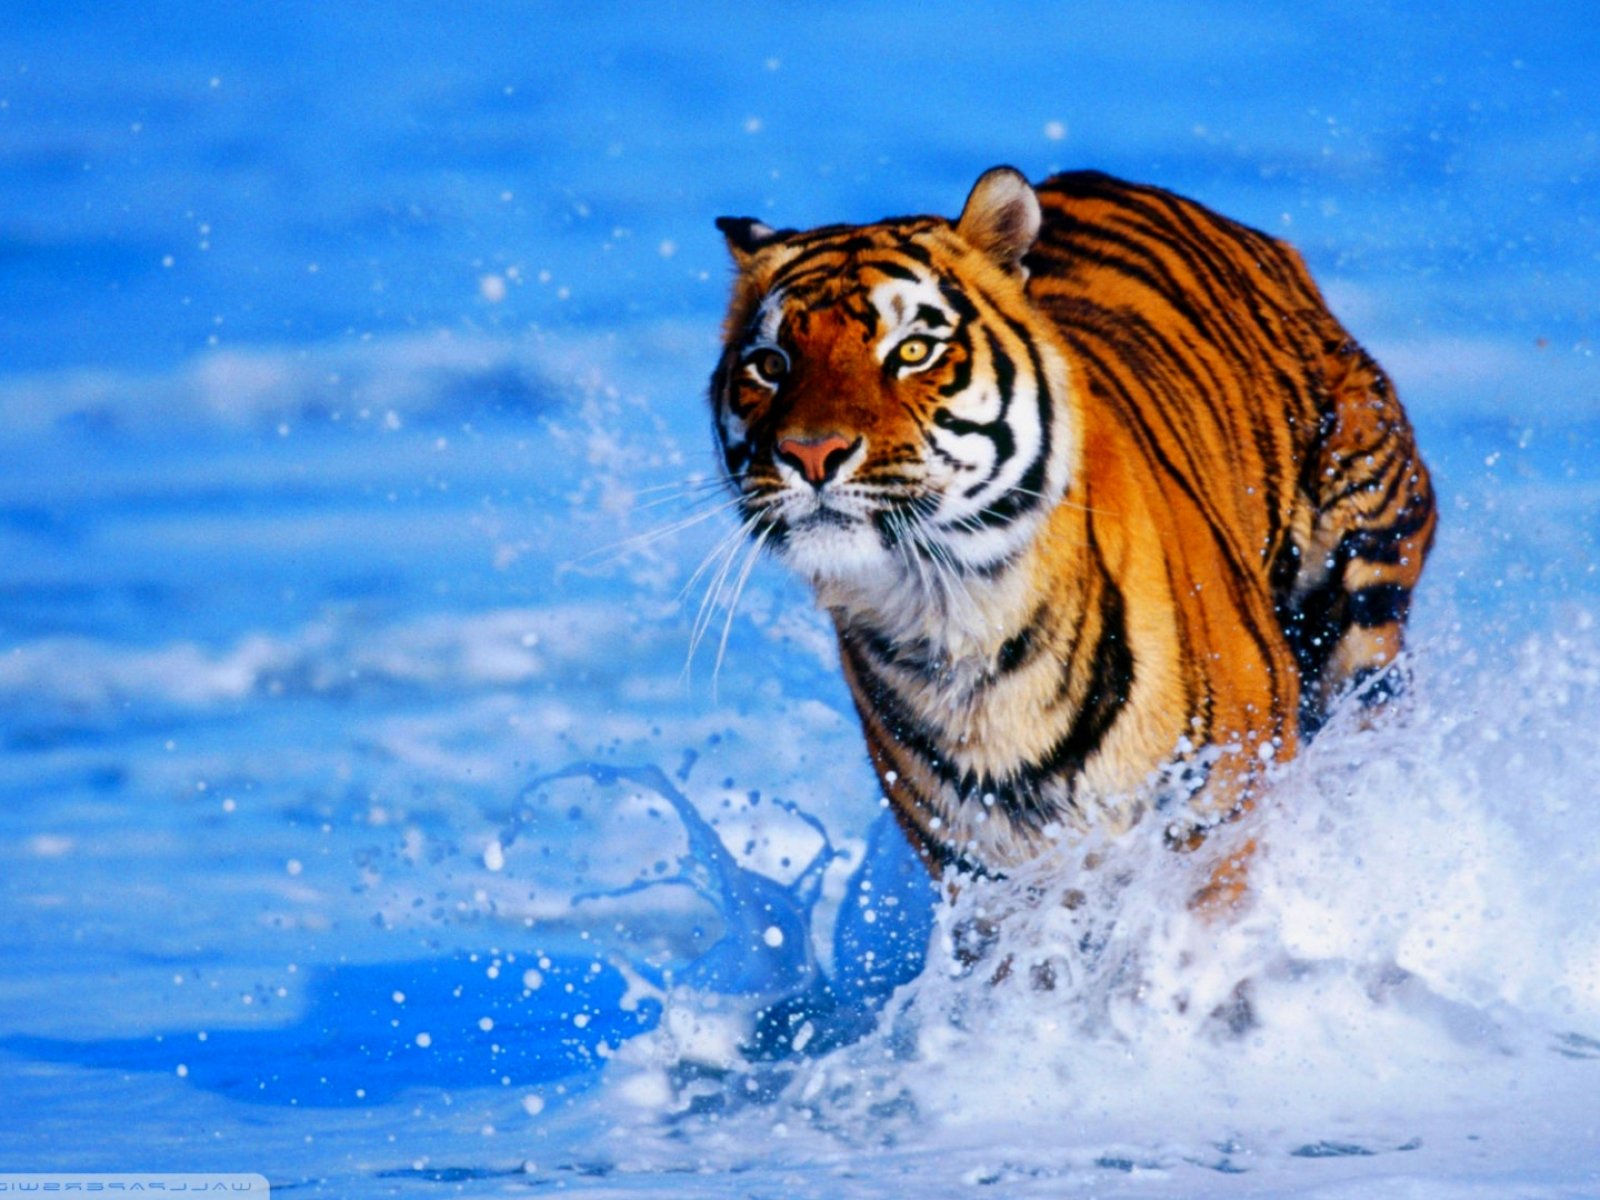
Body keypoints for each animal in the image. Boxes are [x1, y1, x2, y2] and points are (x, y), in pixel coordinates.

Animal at [706, 167, 1435, 904]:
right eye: (770, 363)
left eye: (913, 350)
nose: (811, 453)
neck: (957, 623)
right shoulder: (986, 879)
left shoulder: (1221, 818)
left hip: (1362, 595)